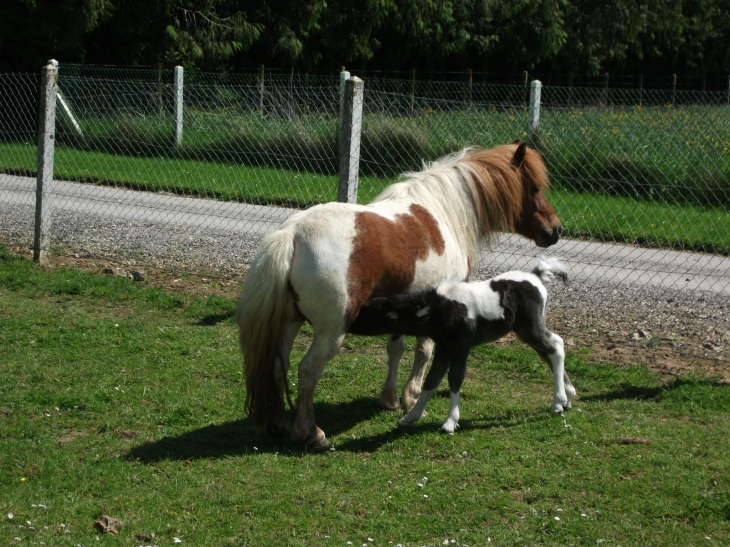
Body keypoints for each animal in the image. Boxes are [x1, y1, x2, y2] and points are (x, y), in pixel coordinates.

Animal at [348, 260, 576, 434]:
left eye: (368, 314)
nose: (349, 321)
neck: (437, 308)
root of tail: (536, 276)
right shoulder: (444, 346)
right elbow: (432, 379)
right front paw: (411, 417)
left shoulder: (461, 344)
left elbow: (455, 377)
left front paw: (450, 422)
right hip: (525, 329)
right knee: (551, 349)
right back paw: (567, 396)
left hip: (529, 327)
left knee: (555, 347)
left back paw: (558, 403)